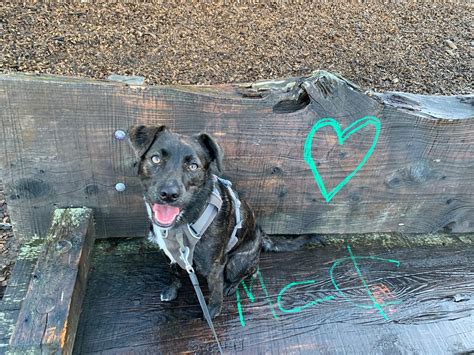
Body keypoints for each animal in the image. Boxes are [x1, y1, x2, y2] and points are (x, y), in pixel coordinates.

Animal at [128, 126, 262, 320]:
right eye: (155, 158)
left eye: (193, 166)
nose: (169, 194)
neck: (180, 225)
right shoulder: (169, 253)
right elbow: (173, 273)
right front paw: (172, 290)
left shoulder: (215, 266)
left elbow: (215, 290)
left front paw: (212, 311)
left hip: (236, 263)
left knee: (251, 272)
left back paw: (232, 285)